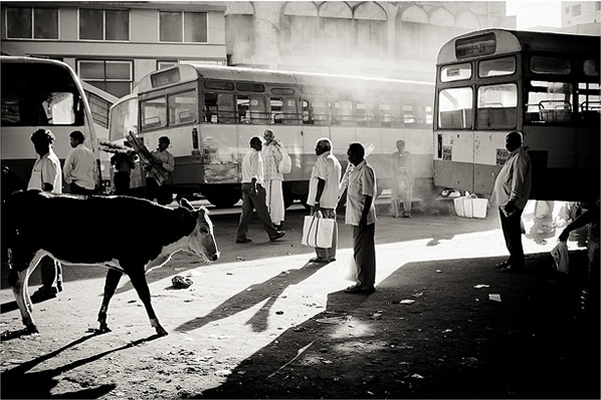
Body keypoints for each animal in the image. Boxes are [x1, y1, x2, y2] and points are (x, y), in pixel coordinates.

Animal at [3, 191, 219, 338]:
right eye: (203, 229)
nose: (216, 255)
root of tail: (17, 195)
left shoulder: (116, 267)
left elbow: (108, 291)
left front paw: (102, 322)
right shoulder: (133, 266)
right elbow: (145, 295)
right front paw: (158, 326)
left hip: (35, 253)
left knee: (22, 280)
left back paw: (29, 312)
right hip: (25, 250)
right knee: (15, 281)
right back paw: (30, 322)